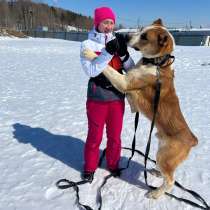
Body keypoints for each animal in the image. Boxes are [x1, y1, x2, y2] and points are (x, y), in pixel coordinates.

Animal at [83, 18, 198, 199]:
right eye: (141, 29)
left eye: (144, 36)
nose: (124, 36)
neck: (157, 64)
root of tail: (193, 139)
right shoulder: (129, 75)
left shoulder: (125, 82)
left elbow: (108, 68)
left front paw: (89, 53)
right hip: (162, 152)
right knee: (168, 173)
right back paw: (157, 172)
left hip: (164, 156)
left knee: (170, 180)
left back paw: (156, 194)